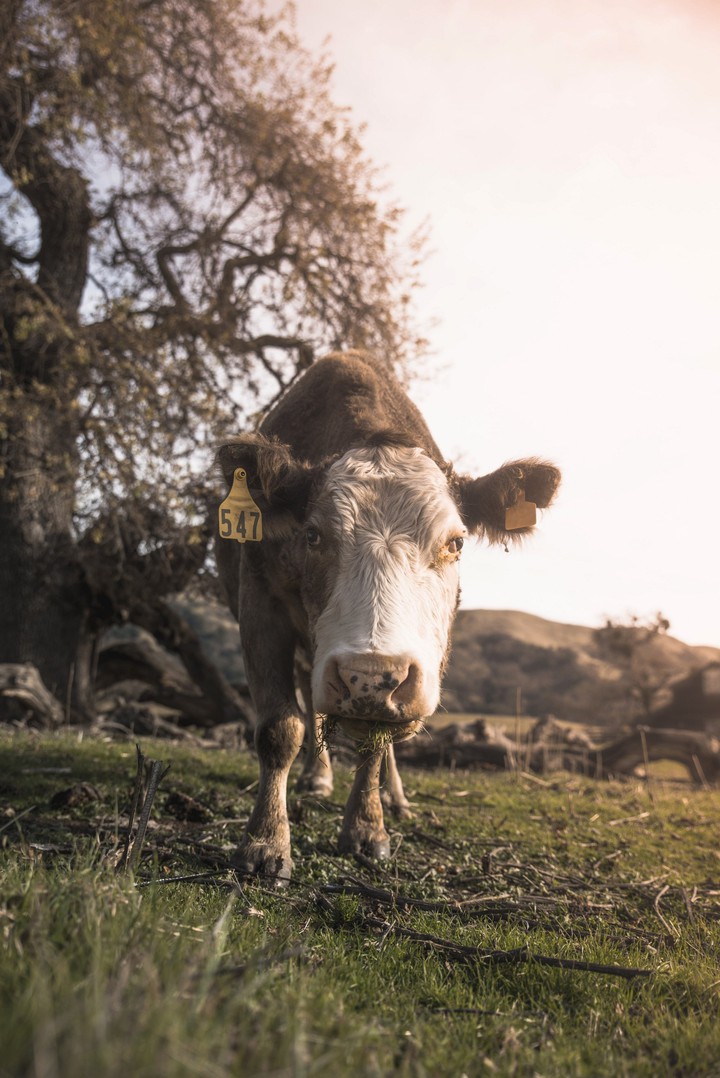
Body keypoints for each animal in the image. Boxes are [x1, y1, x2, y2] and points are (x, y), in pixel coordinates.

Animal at [216, 351, 560, 884]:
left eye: (455, 542)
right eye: (312, 535)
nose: (371, 676)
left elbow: (376, 745)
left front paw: (367, 827)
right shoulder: (259, 601)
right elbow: (280, 728)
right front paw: (265, 841)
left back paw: (393, 798)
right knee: (312, 706)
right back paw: (318, 778)